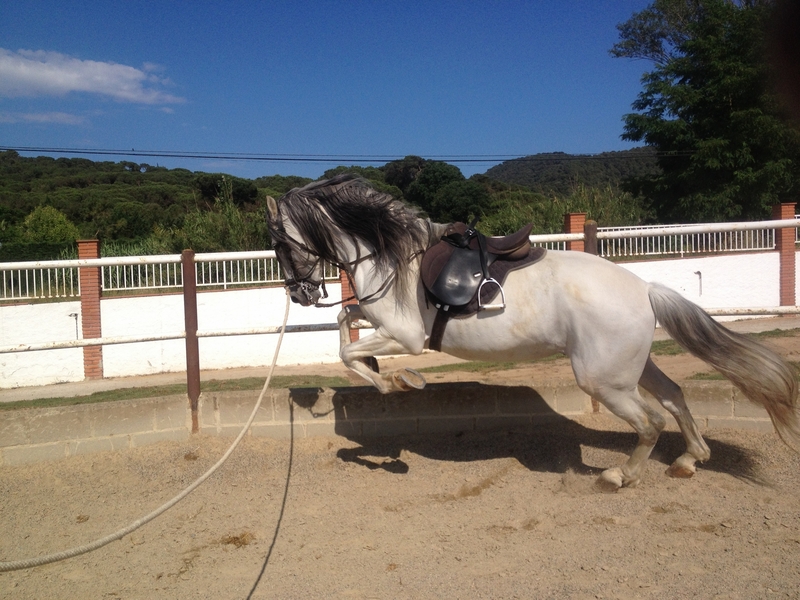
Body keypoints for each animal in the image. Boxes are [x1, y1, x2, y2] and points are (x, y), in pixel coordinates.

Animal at [266, 173, 800, 491]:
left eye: (280, 244)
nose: (301, 294)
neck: (392, 255)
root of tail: (645, 287)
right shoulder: (378, 321)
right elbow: (344, 327)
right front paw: (384, 374)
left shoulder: (407, 337)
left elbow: (349, 354)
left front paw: (397, 382)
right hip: (630, 368)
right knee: (674, 396)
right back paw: (690, 459)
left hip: (602, 380)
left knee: (651, 422)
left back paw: (617, 476)